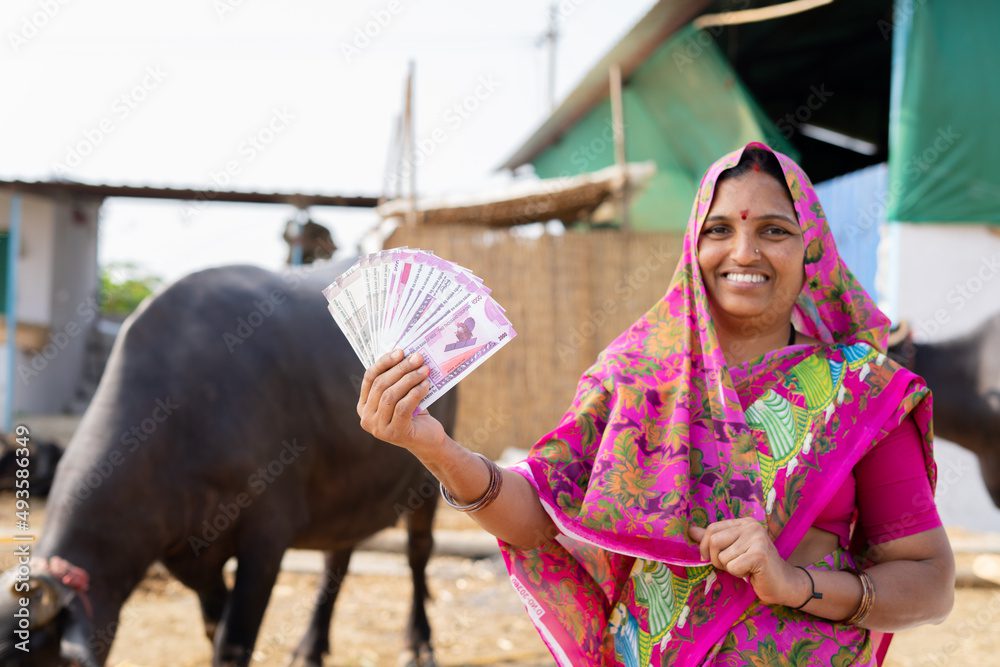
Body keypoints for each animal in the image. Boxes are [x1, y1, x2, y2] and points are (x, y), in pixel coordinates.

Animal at [0, 260, 458, 667]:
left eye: (24, 658)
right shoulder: (189, 556)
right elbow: (212, 627)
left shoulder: (267, 538)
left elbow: (233, 641)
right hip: (347, 499)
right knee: (337, 563)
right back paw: (310, 650)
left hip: (424, 487)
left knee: (418, 555)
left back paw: (418, 644)